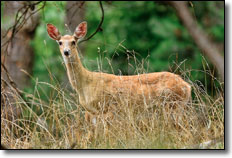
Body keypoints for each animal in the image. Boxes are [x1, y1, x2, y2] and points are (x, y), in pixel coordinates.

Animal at [46, 21, 190, 135]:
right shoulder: (92, 113)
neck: (85, 85)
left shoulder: (107, 108)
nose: (66, 52)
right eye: (60, 42)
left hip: (173, 104)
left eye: (73, 42)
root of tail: (187, 86)